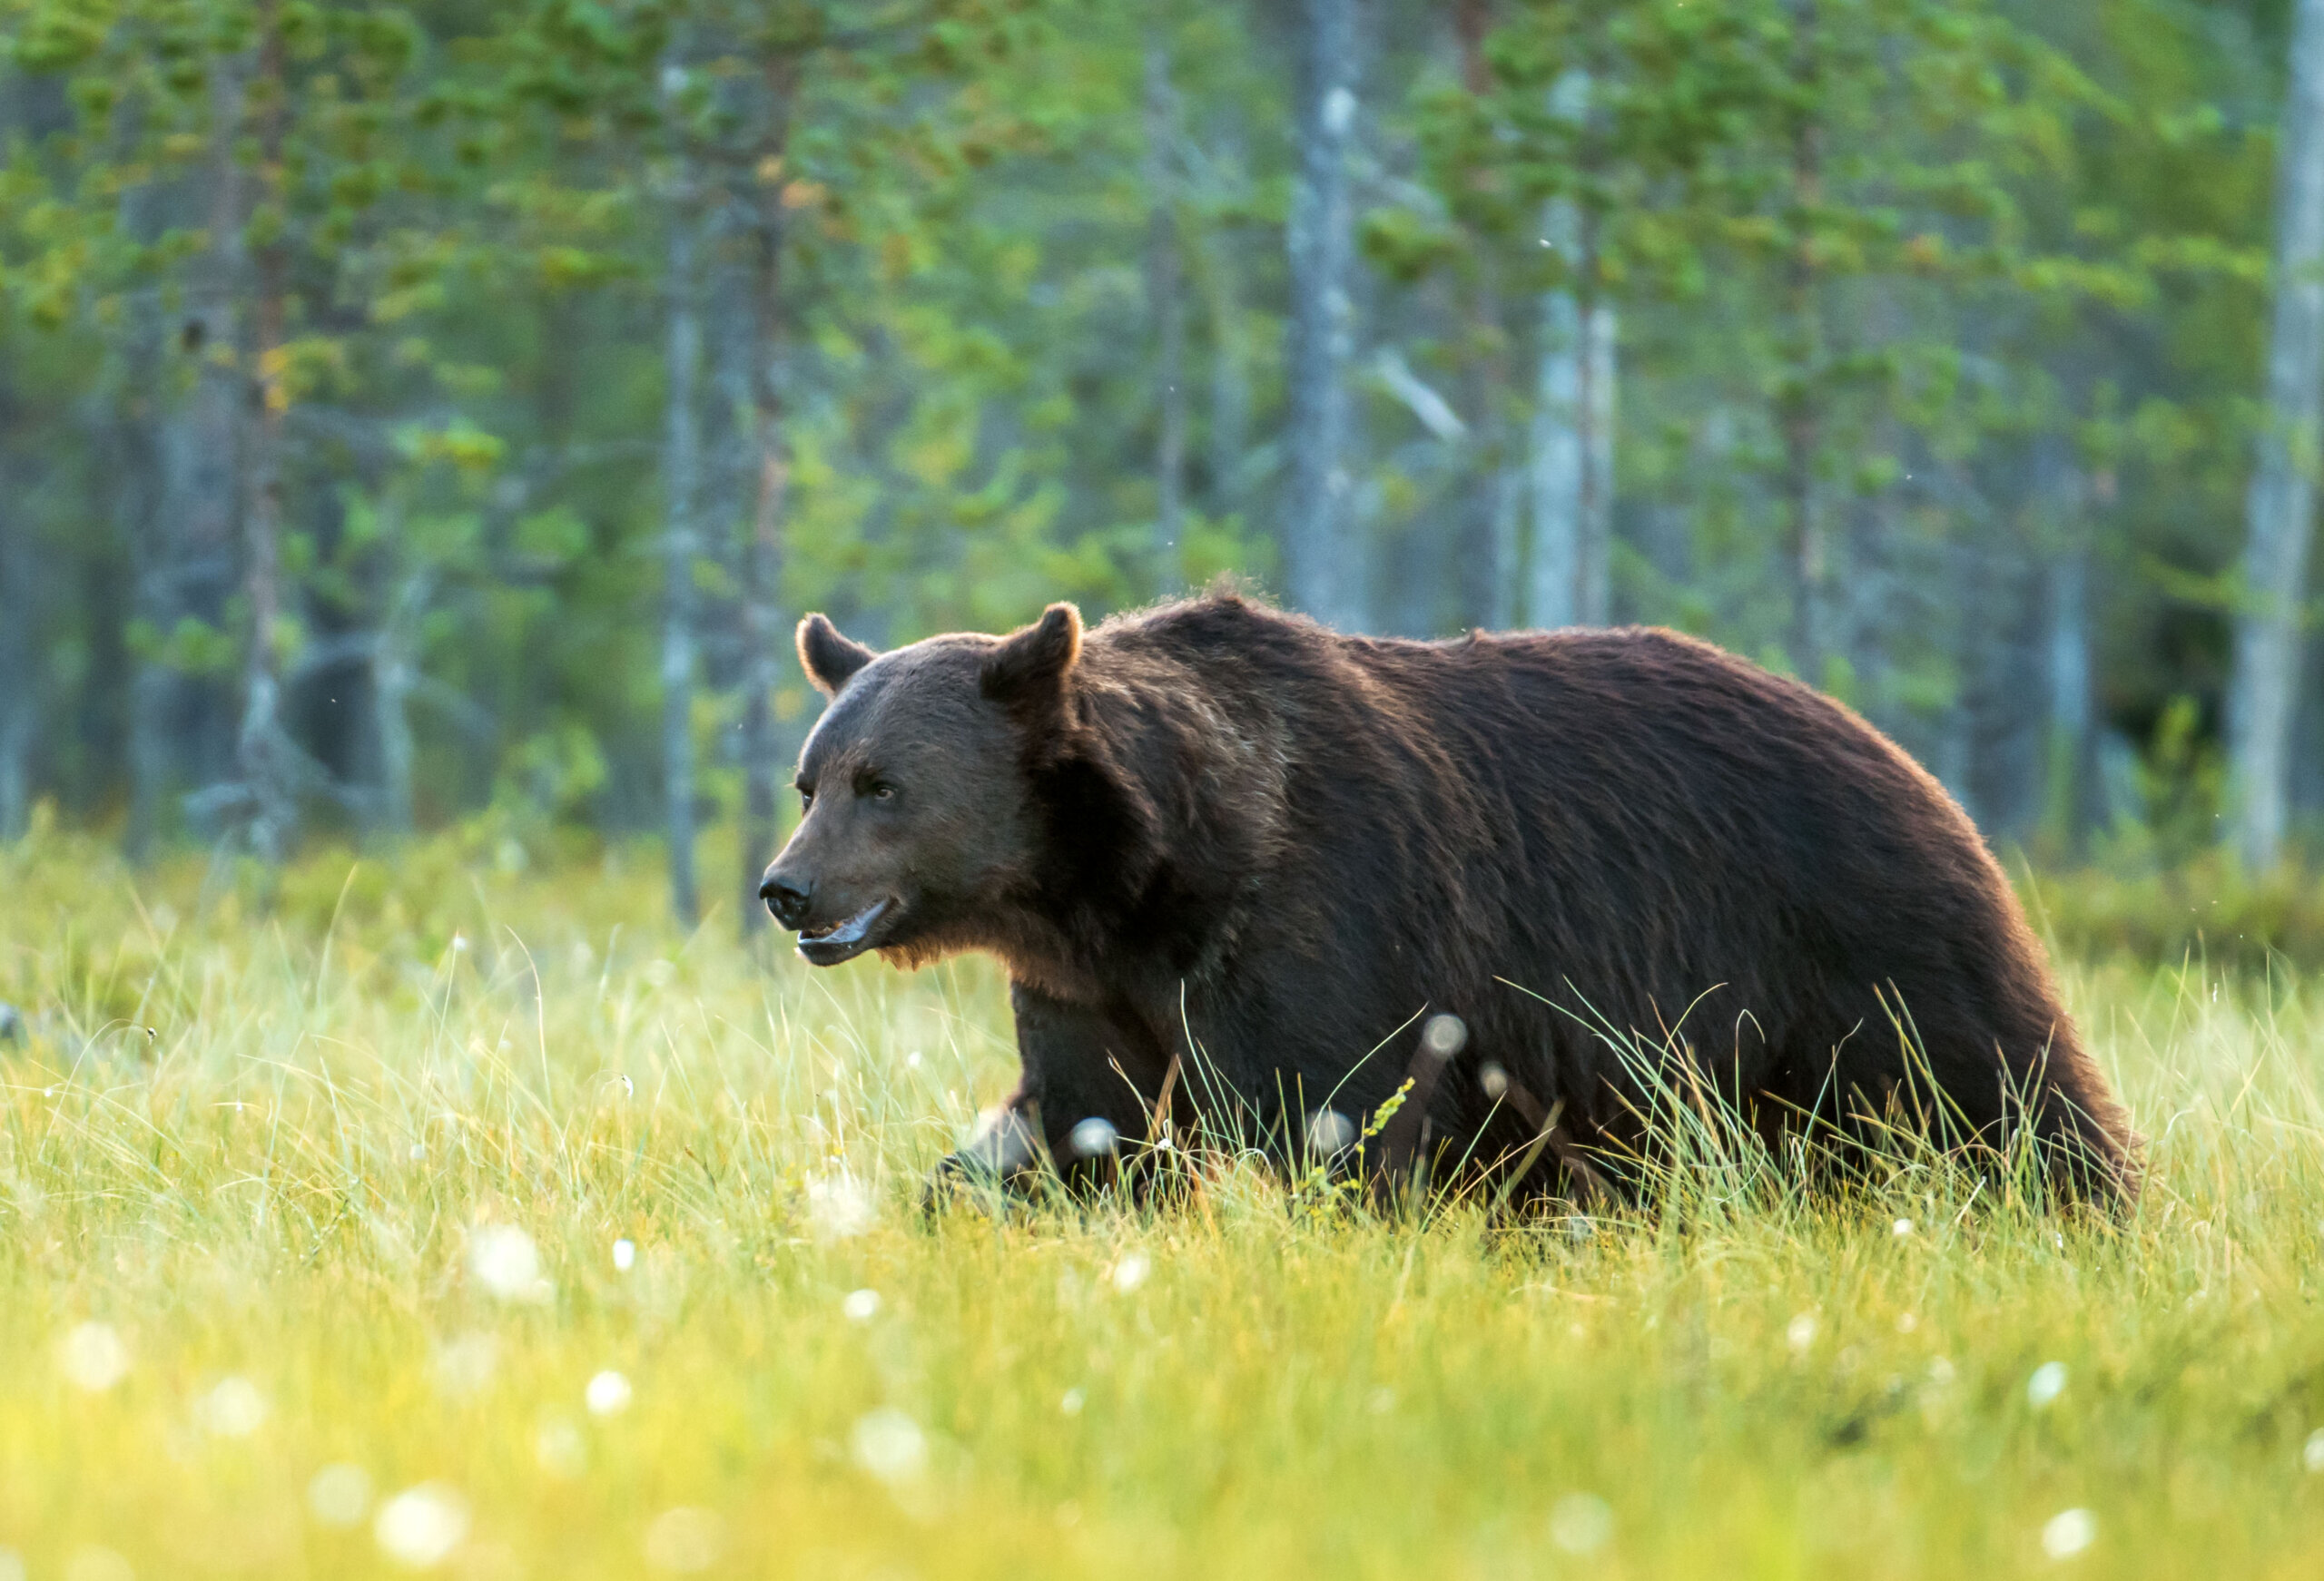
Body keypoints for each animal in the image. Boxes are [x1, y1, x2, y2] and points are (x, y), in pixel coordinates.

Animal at [759, 591, 2139, 1209]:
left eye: (884, 785)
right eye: (810, 777)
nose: (786, 887)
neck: (1136, 881)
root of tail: (1902, 755)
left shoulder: (1322, 916)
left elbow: (1329, 1113)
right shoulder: (1094, 985)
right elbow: (1079, 1122)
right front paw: (966, 1201)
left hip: (1854, 938)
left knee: (1996, 1090)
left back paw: (2084, 1210)